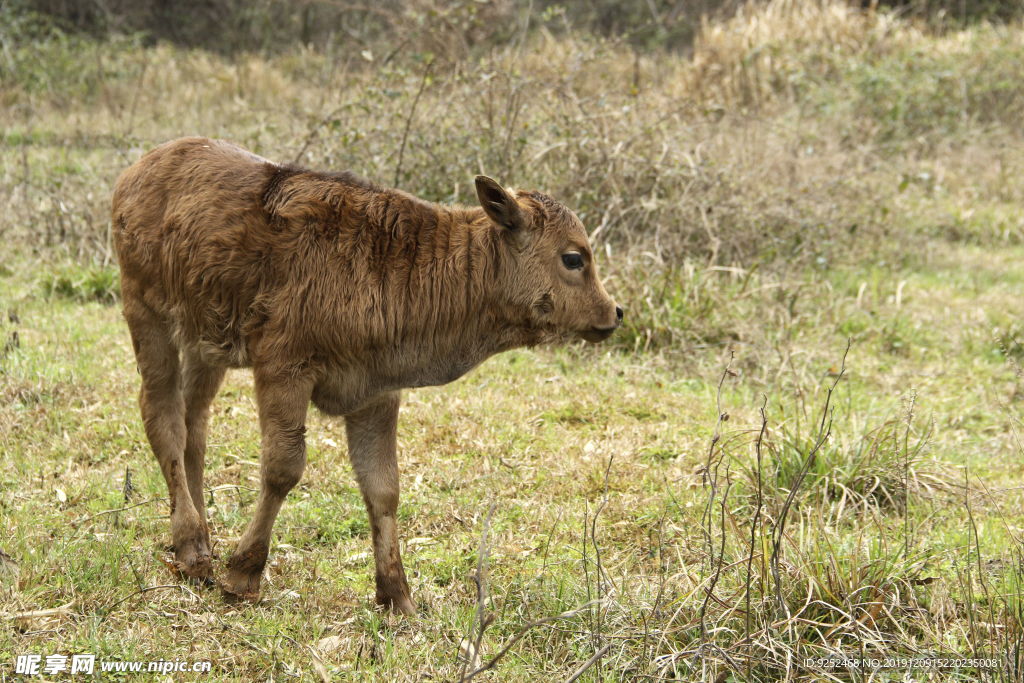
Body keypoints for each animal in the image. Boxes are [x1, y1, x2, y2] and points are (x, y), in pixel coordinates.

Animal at [114, 137, 622, 614]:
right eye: (574, 258)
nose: (614, 312)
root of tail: (143, 167)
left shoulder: (375, 394)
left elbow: (383, 488)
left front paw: (398, 597)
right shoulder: (283, 370)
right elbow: (283, 469)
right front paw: (242, 575)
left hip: (206, 346)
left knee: (194, 427)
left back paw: (199, 540)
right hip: (149, 319)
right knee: (163, 417)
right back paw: (193, 548)